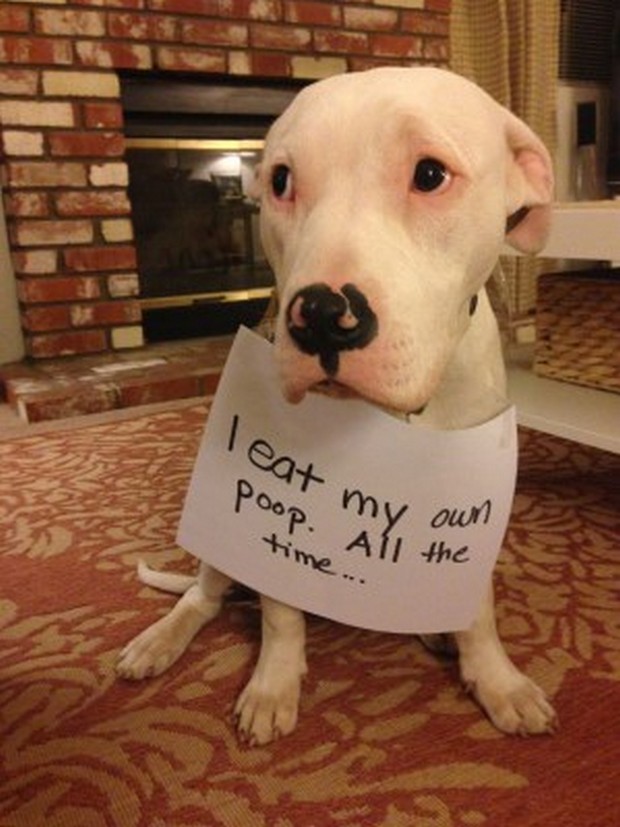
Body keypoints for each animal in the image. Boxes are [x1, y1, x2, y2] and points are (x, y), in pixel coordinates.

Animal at [117, 67, 557, 746]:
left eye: (430, 174)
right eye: (280, 181)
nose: (322, 315)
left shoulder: (470, 510)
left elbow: (479, 610)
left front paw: (496, 679)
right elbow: (279, 614)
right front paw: (273, 685)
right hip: (218, 546)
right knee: (203, 597)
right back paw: (159, 640)